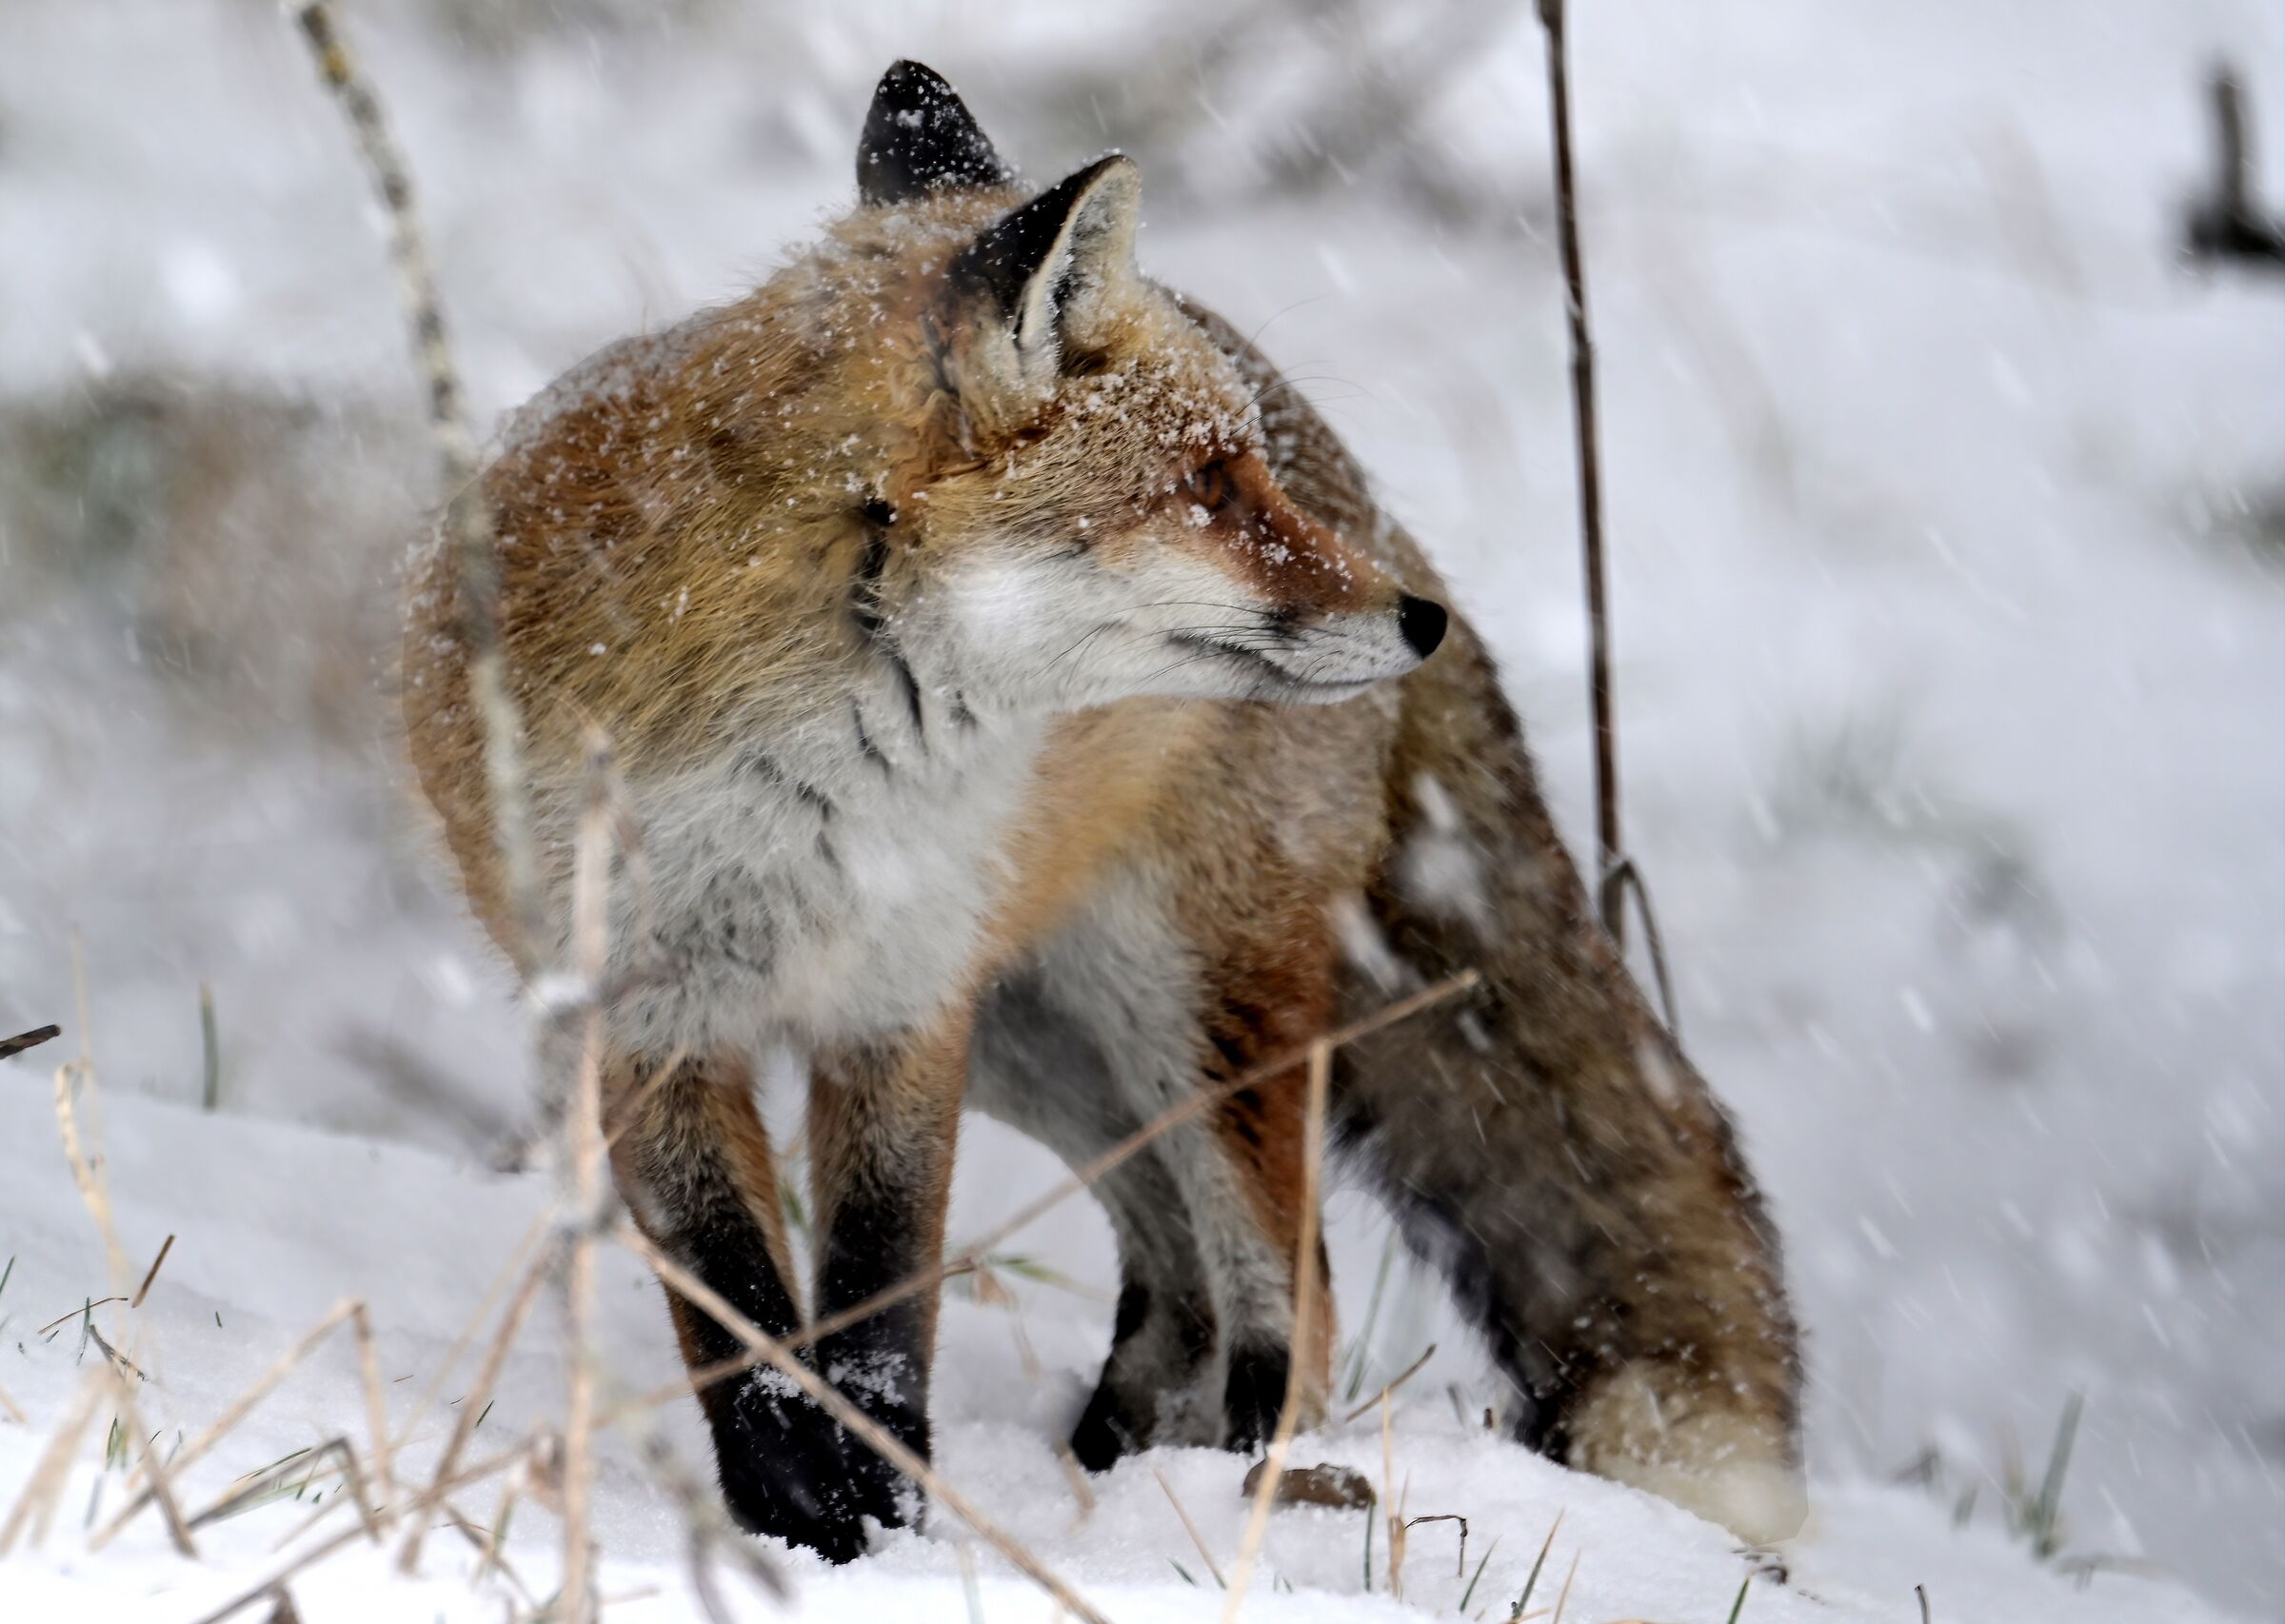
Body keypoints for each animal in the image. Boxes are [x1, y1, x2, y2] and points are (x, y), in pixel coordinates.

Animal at [401, 60, 1805, 1562]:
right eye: (1210, 488)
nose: (1418, 619)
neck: (797, 773)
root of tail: (1373, 489)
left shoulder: (902, 1007)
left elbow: (882, 1299)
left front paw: (888, 1517)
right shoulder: (638, 1010)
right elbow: (738, 1316)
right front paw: (802, 1515)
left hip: (1190, 1005)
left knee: (1289, 1293)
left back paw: (1244, 1505)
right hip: (1047, 1032)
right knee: (1180, 1278)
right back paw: (1120, 1464)